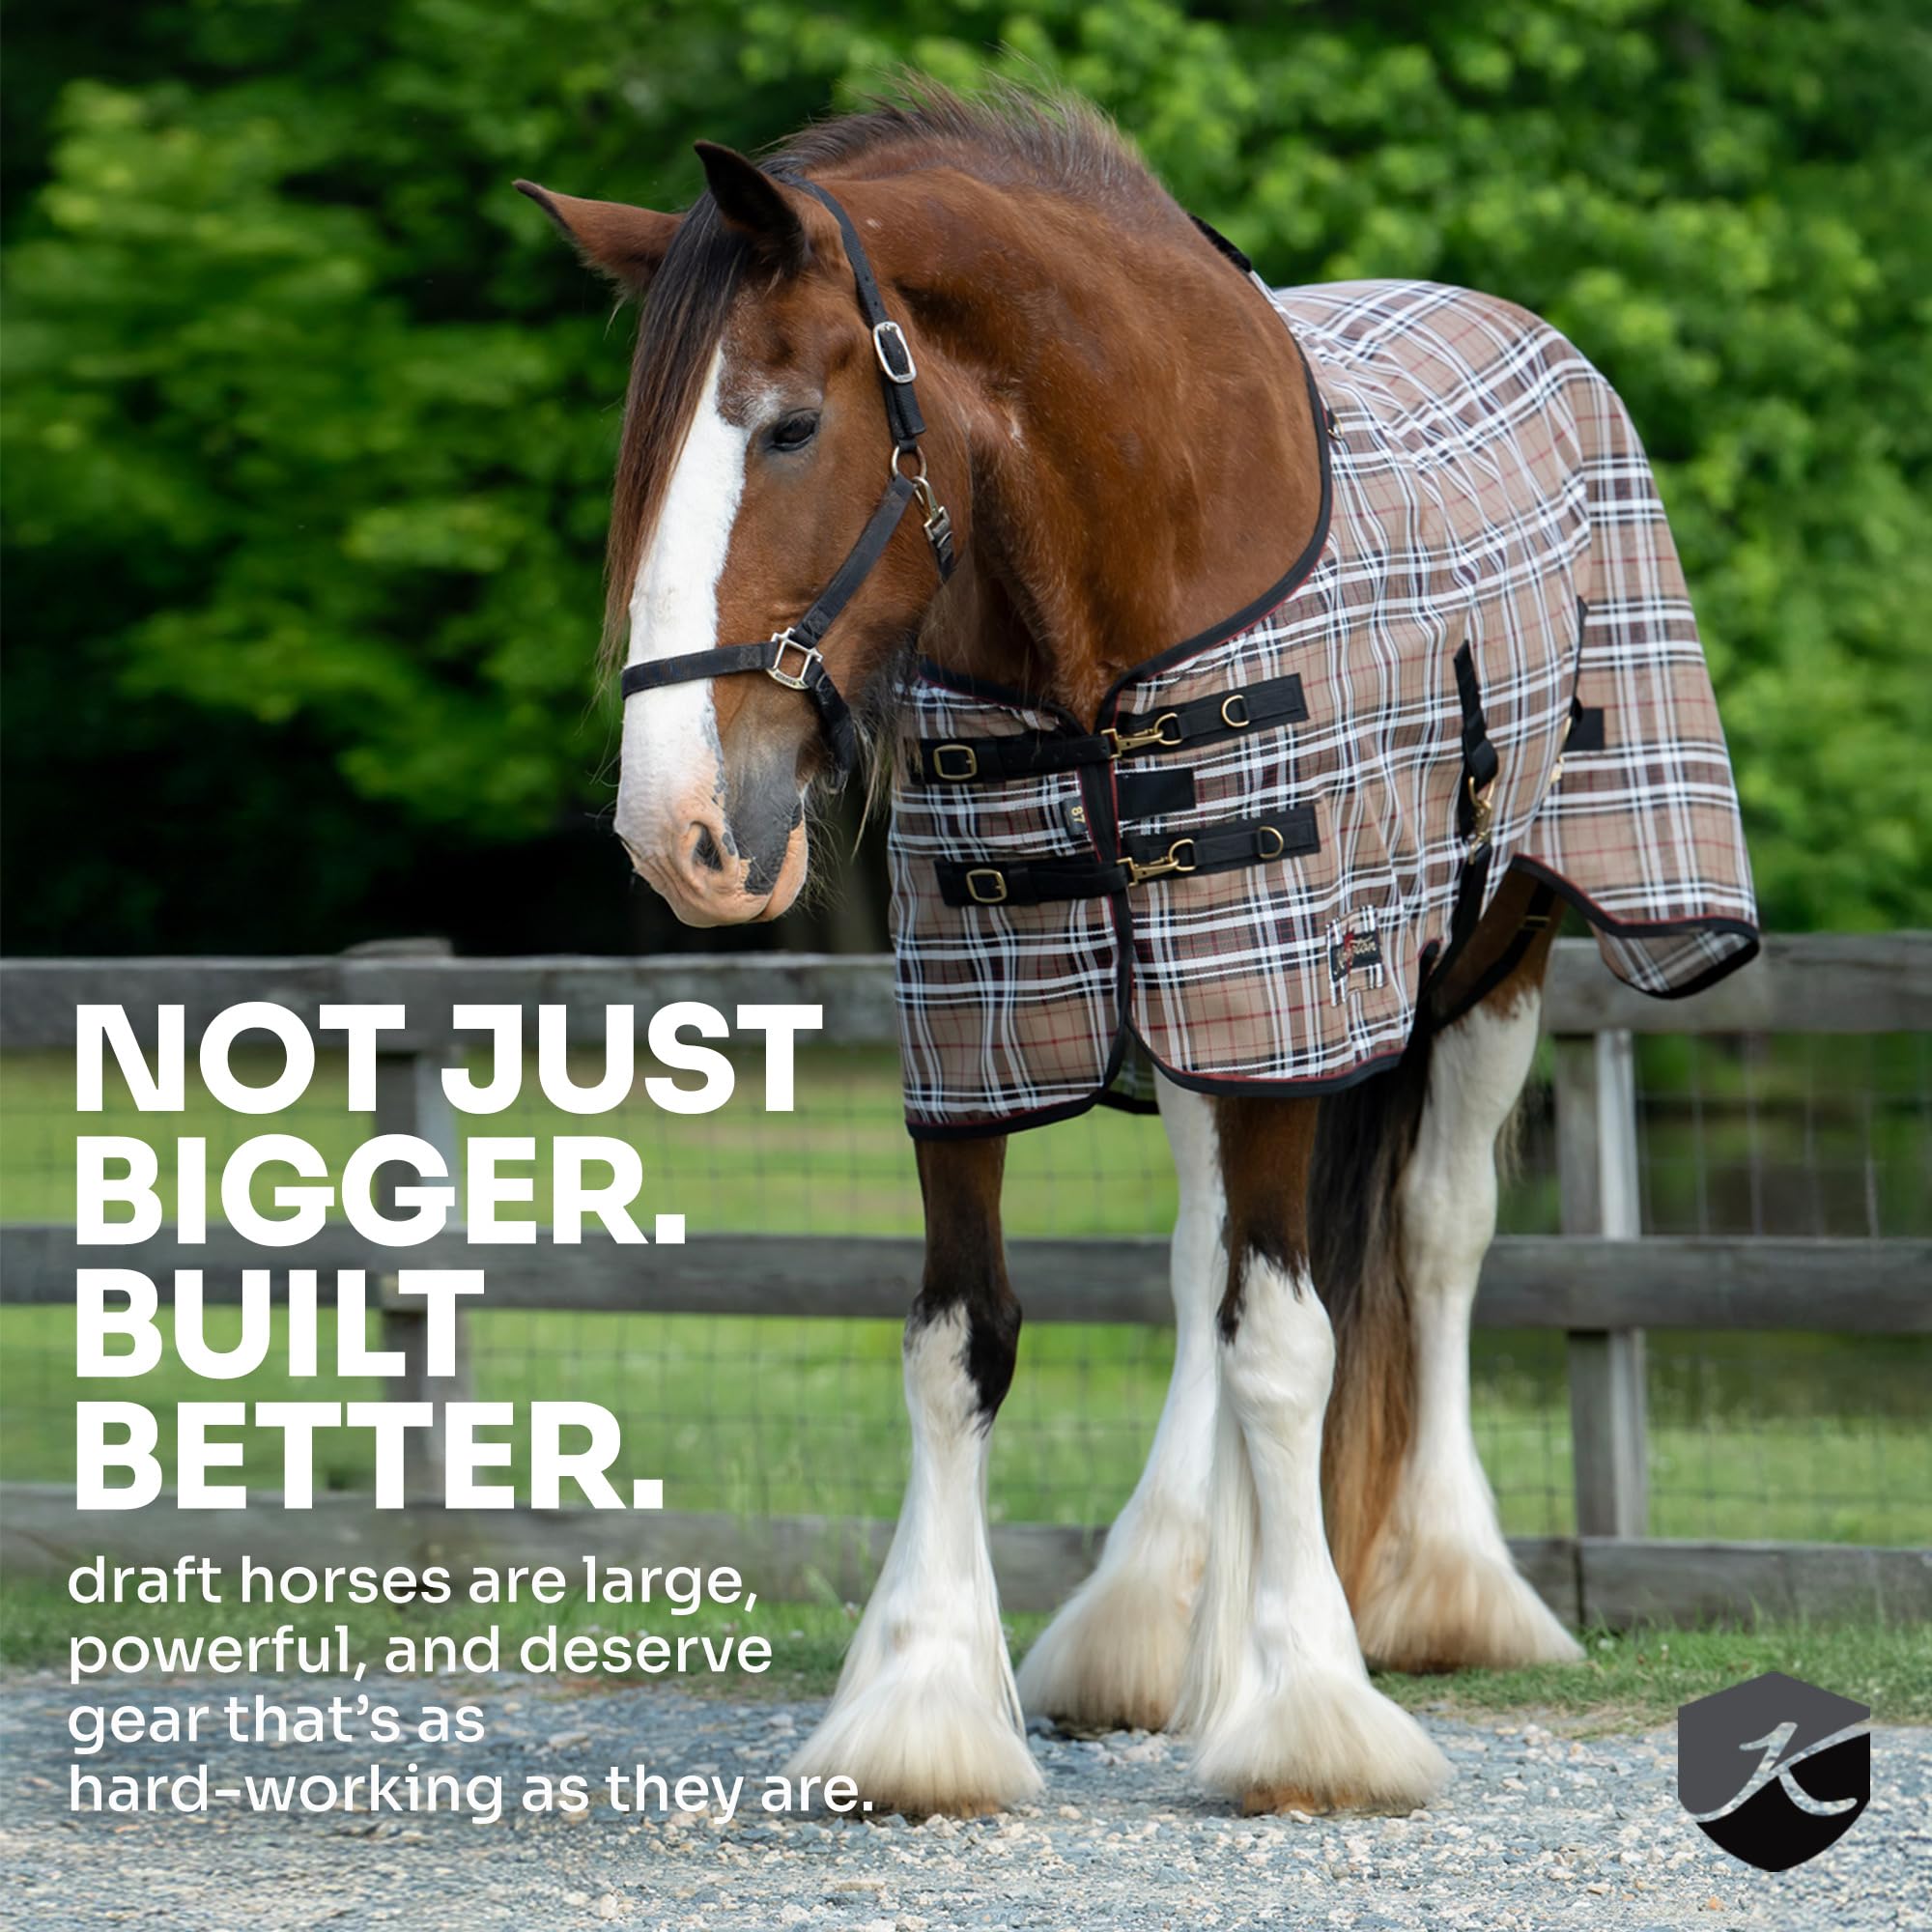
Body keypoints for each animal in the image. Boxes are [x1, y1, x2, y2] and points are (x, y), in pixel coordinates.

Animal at [519, 82, 1757, 1819]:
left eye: (790, 429)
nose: (677, 825)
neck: (1106, 589)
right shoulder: (983, 1025)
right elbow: (964, 1341)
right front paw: (923, 1710)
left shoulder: (1283, 1002)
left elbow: (1288, 1345)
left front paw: (1309, 1711)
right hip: (1175, 1007)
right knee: (1201, 1262)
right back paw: (1164, 1615)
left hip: (1491, 955)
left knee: (1432, 1240)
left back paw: (1448, 1593)